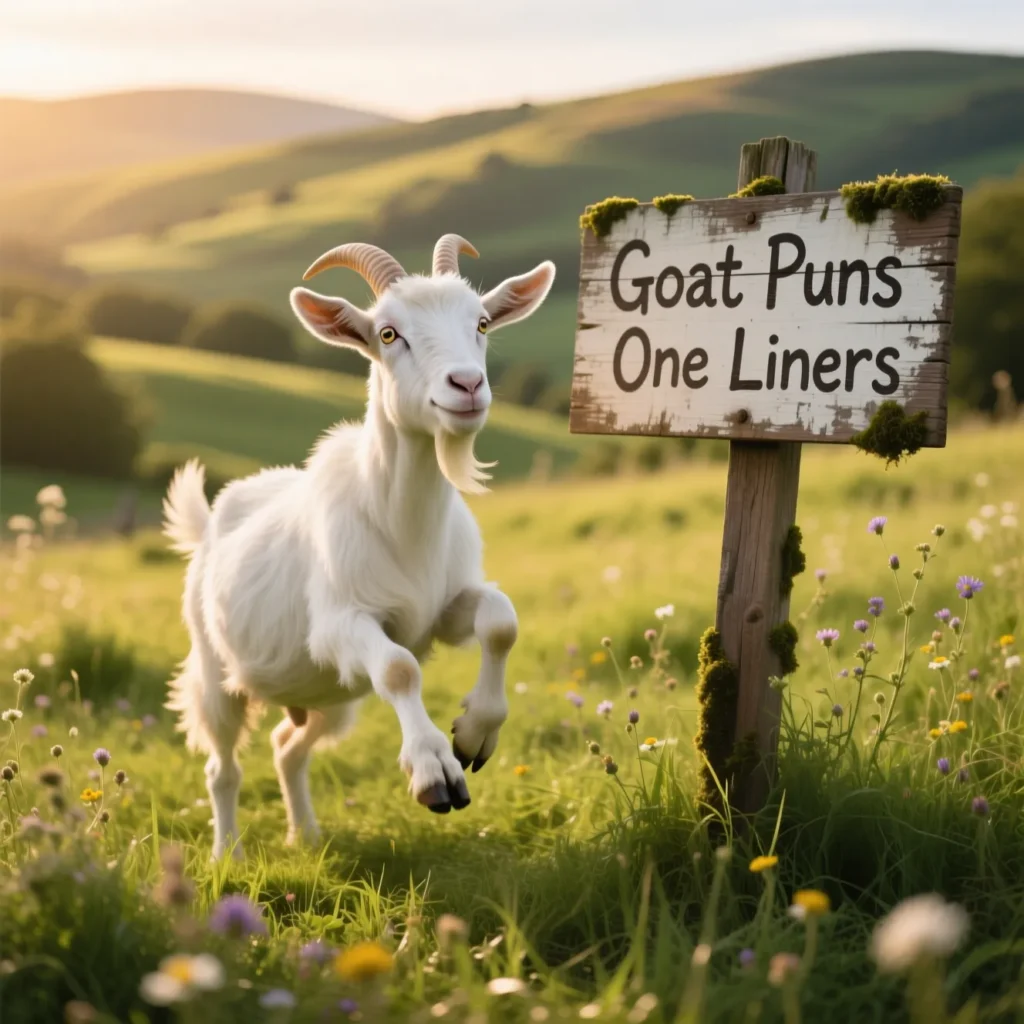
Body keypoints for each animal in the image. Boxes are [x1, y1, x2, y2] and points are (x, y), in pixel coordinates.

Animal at [163, 234, 555, 858]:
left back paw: (306, 837)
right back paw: (228, 854)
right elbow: (398, 669)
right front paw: (435, 771)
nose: (467, 385)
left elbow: (500, 621)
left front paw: (473, 733)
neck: (403, 523)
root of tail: (208, 523)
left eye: (482, 323)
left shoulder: (438, 611)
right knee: (221, 766)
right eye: (389, 334)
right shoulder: (339, 624)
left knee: (286, 746)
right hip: (214, 670)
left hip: (330, 695)